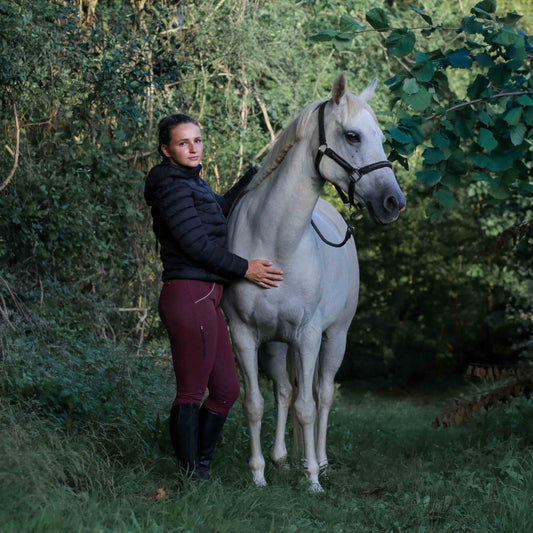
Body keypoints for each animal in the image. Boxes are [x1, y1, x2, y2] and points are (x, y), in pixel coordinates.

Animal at [222, 71, 406, 490]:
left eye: (380, 136)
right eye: (353, 136)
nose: (394, 202)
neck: (276, 241)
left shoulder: (308, 334)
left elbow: (308, 406)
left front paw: (312, 481)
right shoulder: (243, 333)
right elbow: (256, 403)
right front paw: (259, 475)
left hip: (335, 337)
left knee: (322, 395)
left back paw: (319, 461)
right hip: (276, 344)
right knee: (284, 391)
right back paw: (281, 458)